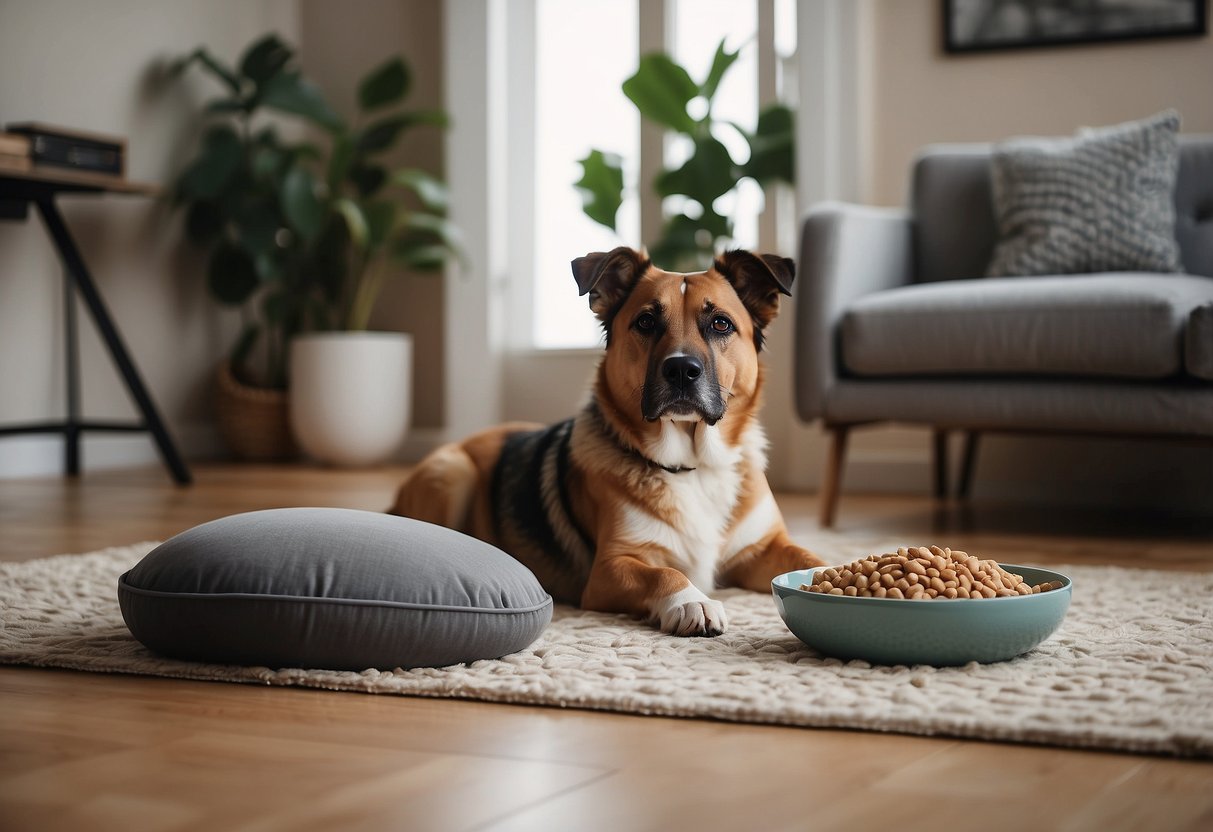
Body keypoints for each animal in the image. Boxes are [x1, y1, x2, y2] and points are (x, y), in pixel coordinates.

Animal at [388, 247, 824, 640]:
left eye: (720, 324)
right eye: (646, 321)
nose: (682, 370)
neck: (693, 465)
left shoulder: (763, 549)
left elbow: (812, 559)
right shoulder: (610, 569)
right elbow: (664, 573)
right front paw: (691, 601)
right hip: (452, 472)